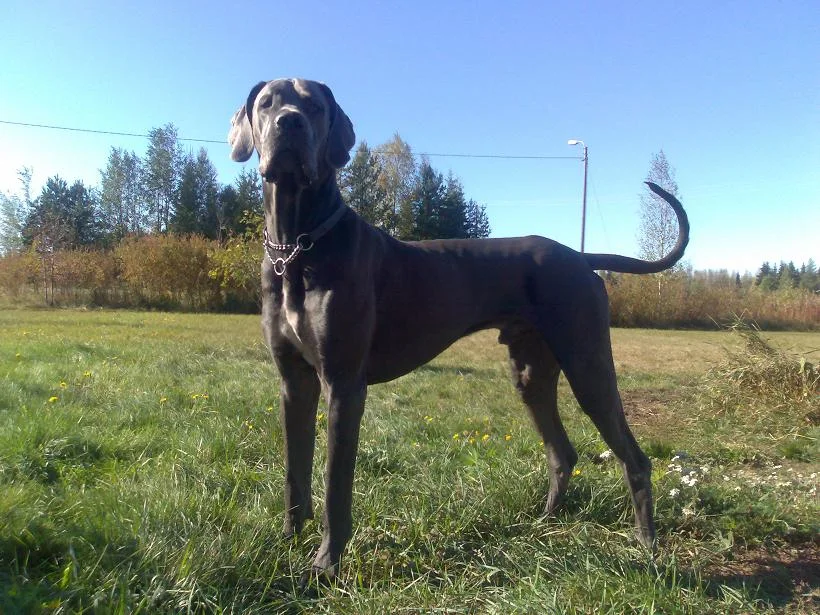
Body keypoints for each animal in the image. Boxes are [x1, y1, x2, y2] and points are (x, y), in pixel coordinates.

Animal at [228, 78, 689, 578]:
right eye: (267, 102)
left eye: (313, 106)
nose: (288, 123)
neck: (298, 246)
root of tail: (581, 257)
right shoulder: (293, 381)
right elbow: (294, 473)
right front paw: (287, 543)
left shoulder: (343, 385)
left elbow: (335, 485)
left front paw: (326, 564)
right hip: (531, 373)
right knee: (562, 452)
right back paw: (543, 524)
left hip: (588, 365)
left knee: (634, 458)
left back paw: (647, 544)